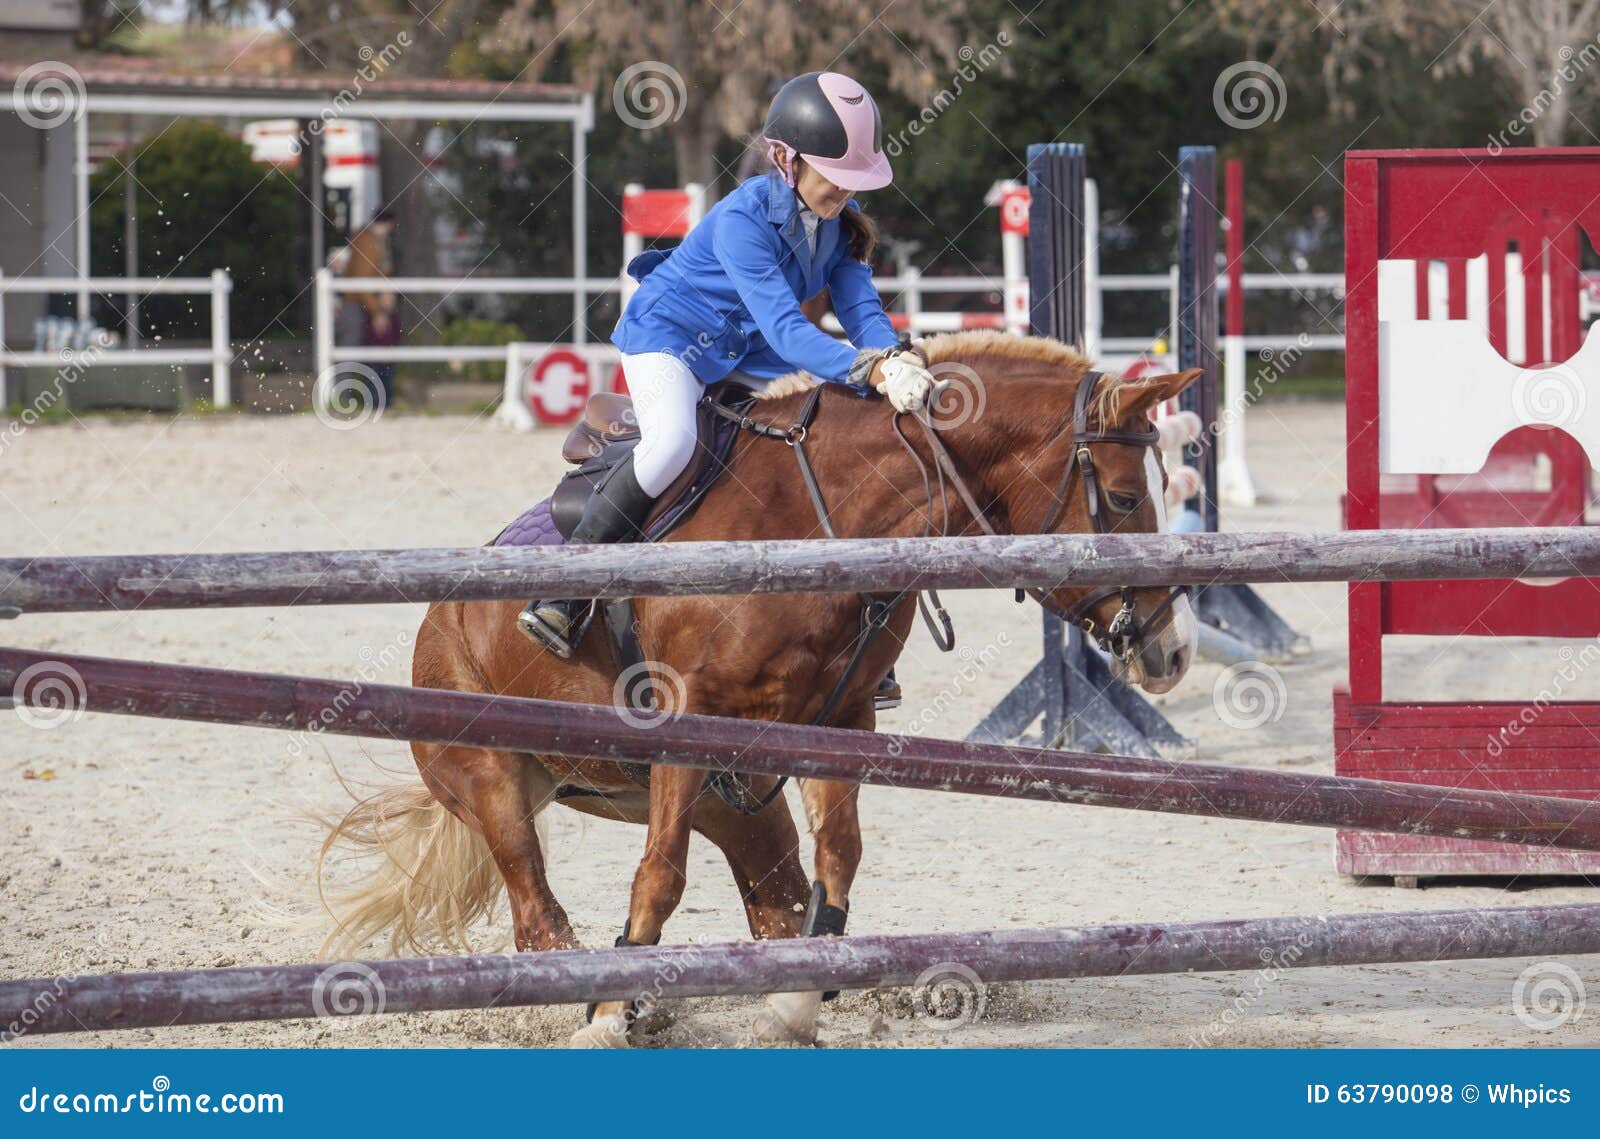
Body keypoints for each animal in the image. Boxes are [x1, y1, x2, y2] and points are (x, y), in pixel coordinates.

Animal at [318, 326, 1196, 1043]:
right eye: (1124, 498)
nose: (1173, 649)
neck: (816, 512)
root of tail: (442, 613)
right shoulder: (685, 717)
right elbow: (660, 875)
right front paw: (611, 1011)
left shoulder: (837, 721)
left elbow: (838, 854)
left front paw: (799, 999)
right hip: (493, 779)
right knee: (538, 915)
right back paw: (600, 999)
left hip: (736, 803)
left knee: (771, 897)